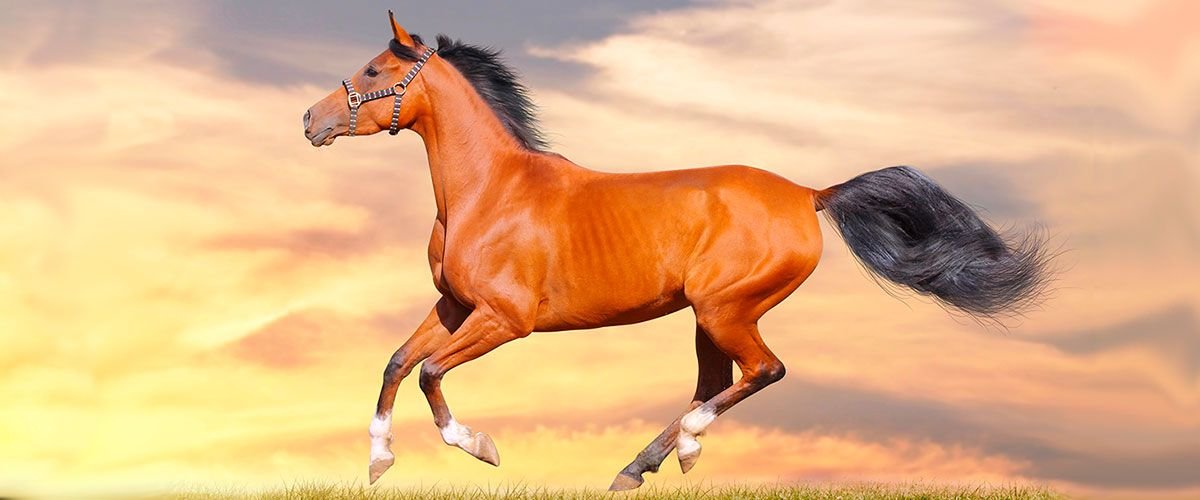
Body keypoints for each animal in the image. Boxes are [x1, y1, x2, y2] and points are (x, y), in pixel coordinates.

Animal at [301, 11, 1051, 491]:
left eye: (374, 67)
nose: (310, 120)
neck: (489, 191)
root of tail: (810, 193)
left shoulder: (504, 320)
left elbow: (429, 374)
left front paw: (480, 448)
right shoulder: (455, 307)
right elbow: (398, 363)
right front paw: (377, 463)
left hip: (725, 310)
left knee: (762, 372)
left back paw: (670, 450)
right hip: (708, 317)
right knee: (719, 382)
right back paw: (645, 466)